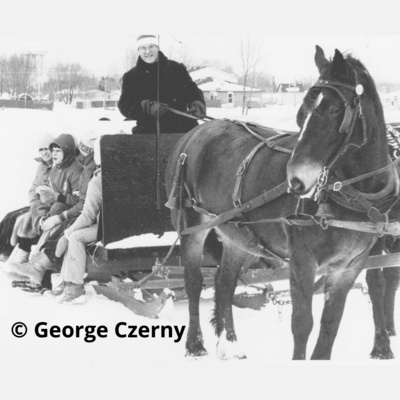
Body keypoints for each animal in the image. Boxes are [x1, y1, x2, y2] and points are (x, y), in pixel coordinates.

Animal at [165, 45, 396, 360]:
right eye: (302, 114)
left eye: (335, 110)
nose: (296, 181)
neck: (350, 194)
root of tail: (193, 133)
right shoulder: (302, 261)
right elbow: (302, 324)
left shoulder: (350, 267)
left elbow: (330, 327)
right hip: (191, 225)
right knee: (194, 282)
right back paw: (195, 344)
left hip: (239, 236)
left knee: (224, 283)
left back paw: (231, 343)